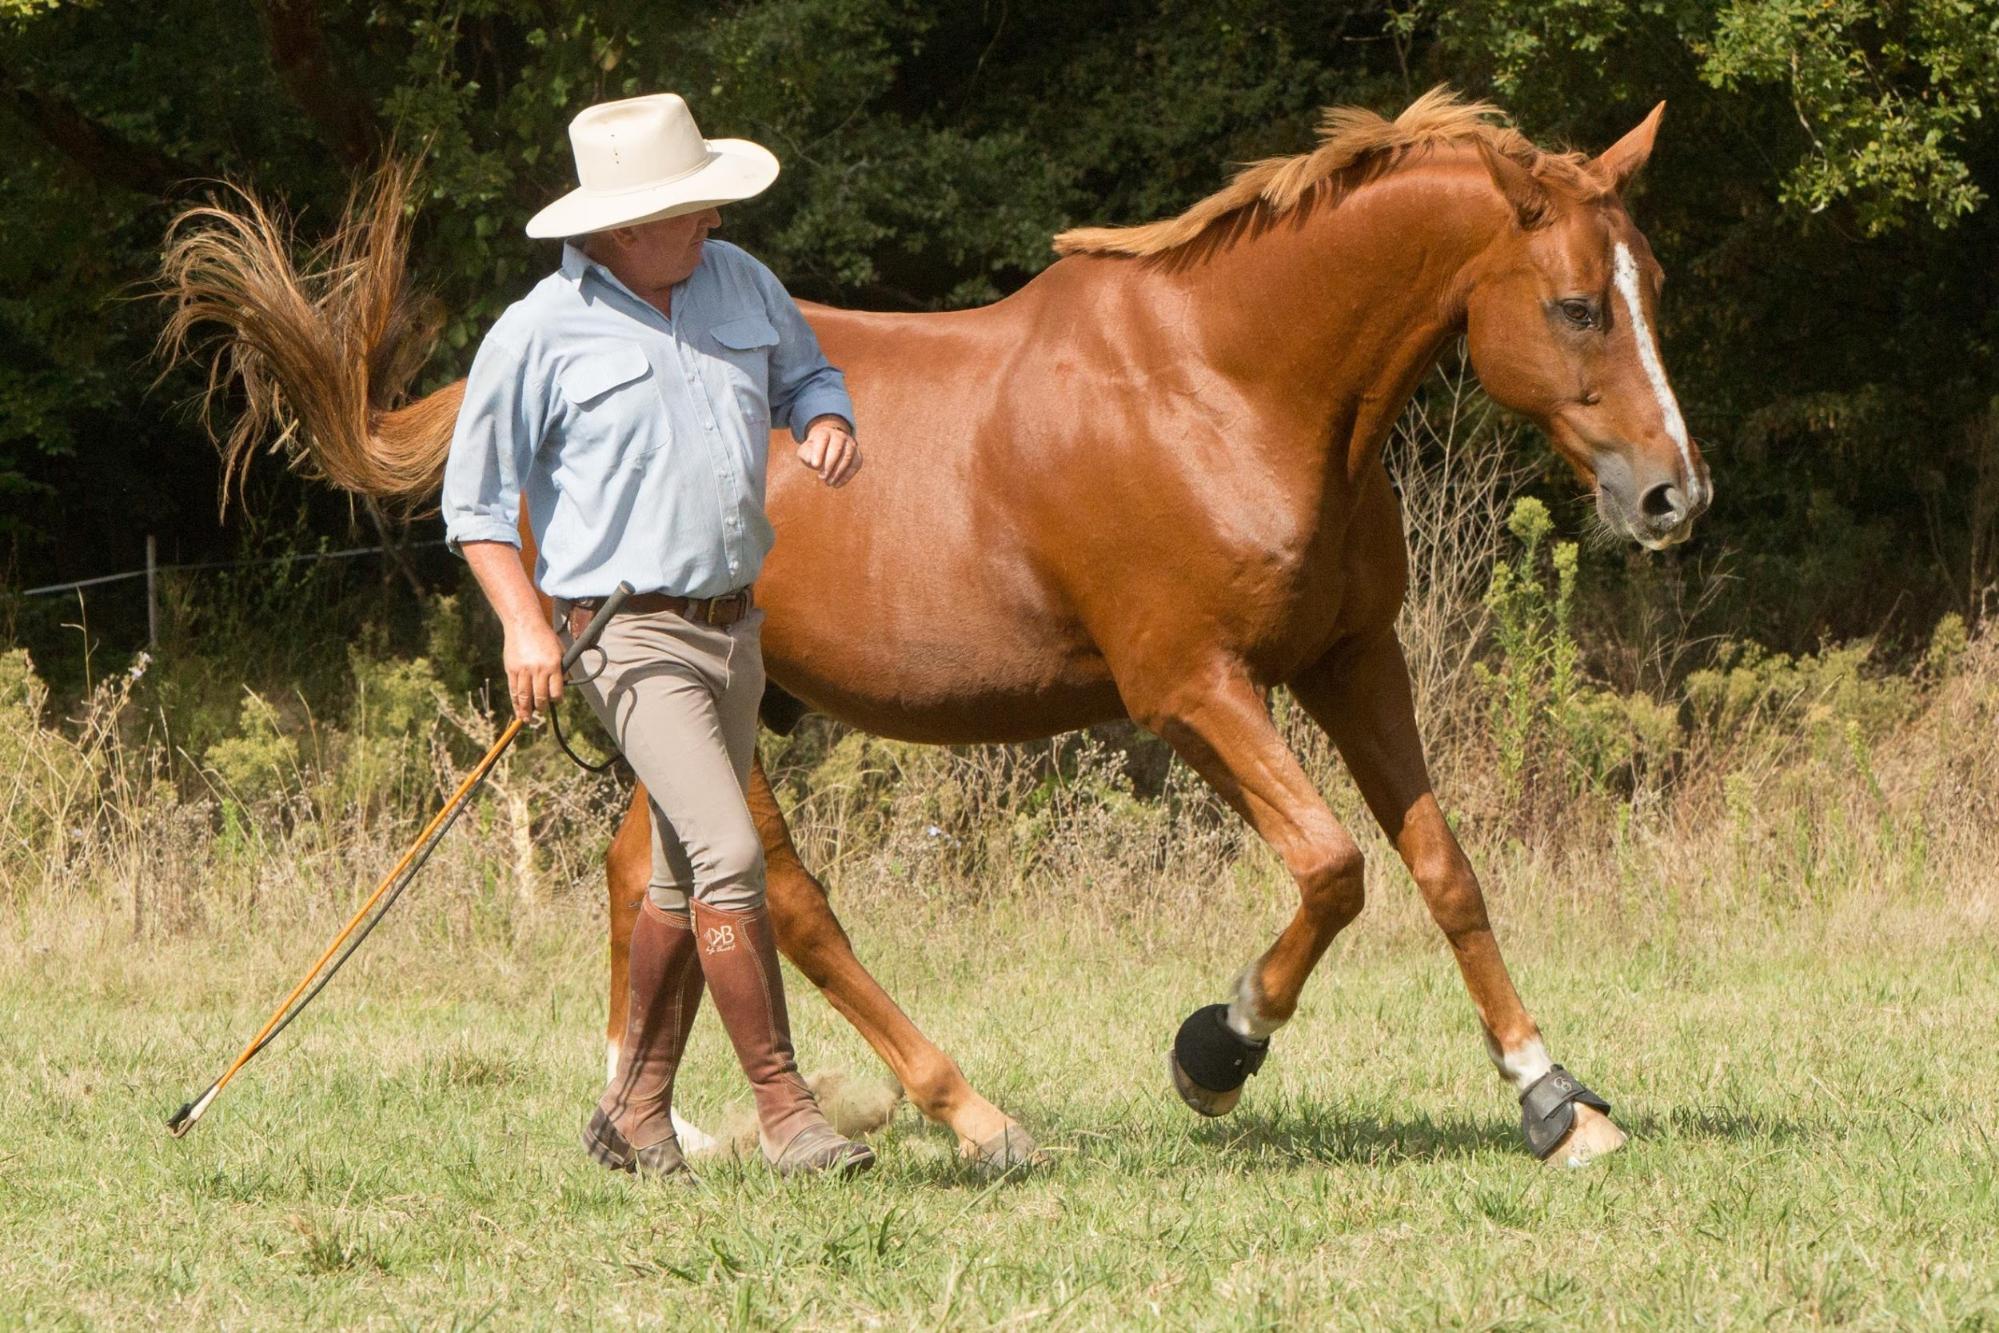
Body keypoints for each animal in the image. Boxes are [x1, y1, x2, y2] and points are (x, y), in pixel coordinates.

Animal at [163, 91, 1711, 1167]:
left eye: (1651, 288)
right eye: (1577, 305)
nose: (1670, 496)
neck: (1228, 383)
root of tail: (508, 399)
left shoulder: (1351, 660)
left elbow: (1443, 870)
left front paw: (1554, 1102)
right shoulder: (1190, 689)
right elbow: (1333, 869)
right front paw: (1216, 1053)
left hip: (704, 705)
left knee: (651, 883)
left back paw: (652, 1122)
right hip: (685, 704)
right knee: (781, 900)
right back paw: (962, 1112)